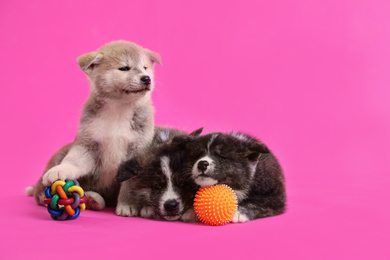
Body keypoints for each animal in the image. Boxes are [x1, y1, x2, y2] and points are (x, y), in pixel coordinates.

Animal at [27, 41, 161, 211]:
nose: (146, 78)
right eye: (124, 68)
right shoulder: (88, 145)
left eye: (145, 67)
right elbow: (74, 161)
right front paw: (62, 169)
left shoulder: (137, 152)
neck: (119, 109)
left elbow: (130, 184)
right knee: (39, 193)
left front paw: (128, 204)